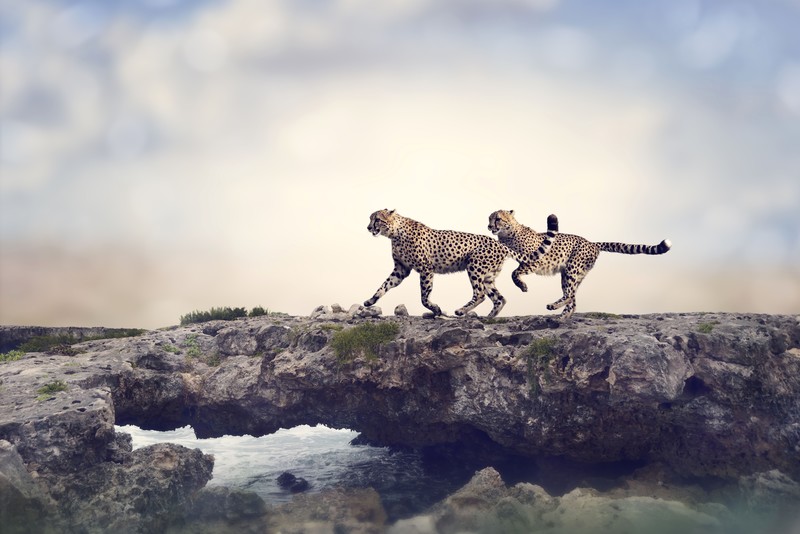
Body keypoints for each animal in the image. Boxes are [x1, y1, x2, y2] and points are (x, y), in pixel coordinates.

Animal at [364, 209, 557, 318]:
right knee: (499, 298)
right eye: (370, 218)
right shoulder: (401, 269)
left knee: (480, 294)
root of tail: (499, 243)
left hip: (474, 267)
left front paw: (436, 309)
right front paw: (370, 300)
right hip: (488, 276)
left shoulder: (426, 269)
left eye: (377, 219)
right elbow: (384, 285)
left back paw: (461, 311)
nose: (368, 227)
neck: (394, 233)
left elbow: (424, 297)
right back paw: (488, 317)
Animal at [488, 209, 671, 320]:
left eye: (498, 219)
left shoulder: (535, 260)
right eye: (489, 219)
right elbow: (514, 271)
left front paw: (523, 286)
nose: (489, 226)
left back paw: (554, 307)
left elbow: (514, 273)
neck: (509, 234)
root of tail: (591, 243)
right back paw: (562, 316)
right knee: (572, 300)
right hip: (570, 274)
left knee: (570, 295)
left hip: (572, 270)